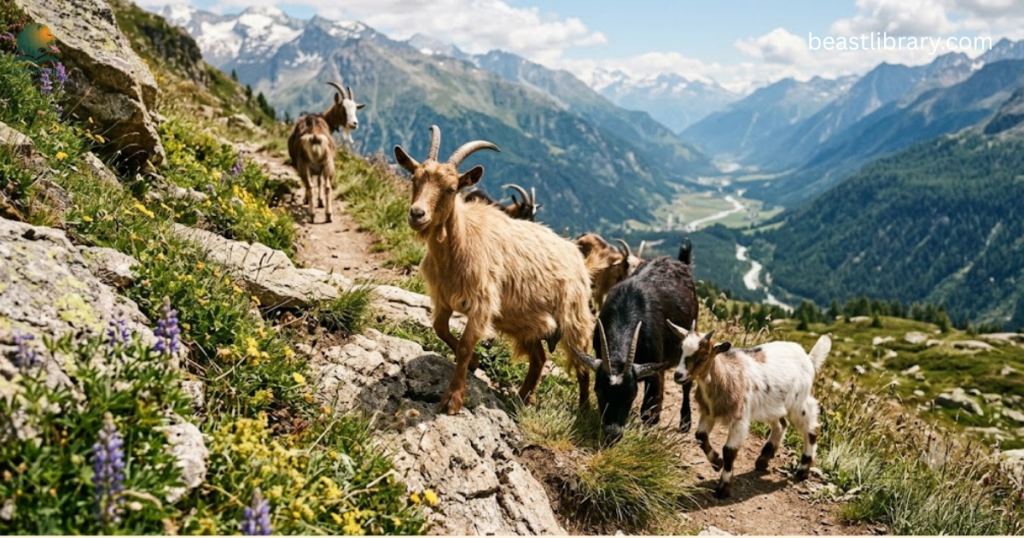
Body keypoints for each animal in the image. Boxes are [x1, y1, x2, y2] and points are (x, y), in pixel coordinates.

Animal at [394, 125, 595, 414]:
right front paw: (476, 363)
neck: (461, 242)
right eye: (414, 178)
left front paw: (453, 400)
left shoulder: (482, 303)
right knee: (539, 358)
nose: (417, 214)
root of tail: (577, 256)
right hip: (527, 322)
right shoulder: (443, 298)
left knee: (582, 365)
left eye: (451, 189)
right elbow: (440, 328)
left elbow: (465, 345)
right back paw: (522, 398)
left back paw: (584, 411)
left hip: (574, 319)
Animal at [571, 242, 698, 442]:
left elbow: (649, 409)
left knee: (687, 384)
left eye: (631, 395)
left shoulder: (655, 368)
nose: (612, 434)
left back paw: (685, 422)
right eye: (599, 391)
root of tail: (681, 262)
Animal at [668, 322, 832, 498]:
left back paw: (802, 470)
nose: (678, 375)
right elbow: (700, 436)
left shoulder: (739, 419)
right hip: (772, 405)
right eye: (680, 349)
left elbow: (729, 451)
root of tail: (808, 358)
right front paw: (717, 462)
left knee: (811, 428)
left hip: (798, 401)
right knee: (781, 425)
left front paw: (723, 488)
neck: (725, 376)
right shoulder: (708, 413)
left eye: (704, 356)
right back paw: (763, 459)